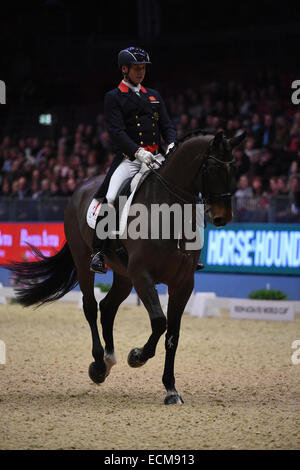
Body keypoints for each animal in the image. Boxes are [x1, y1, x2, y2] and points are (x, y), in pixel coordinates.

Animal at [7, 129, 245, 404]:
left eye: (235, 168)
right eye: (214, 168)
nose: (222, 217)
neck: (168, 212)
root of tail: (81, 188)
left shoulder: (183, 283)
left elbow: (172, 335)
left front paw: (171, 389)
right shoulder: (142, 275)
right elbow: (159, 322)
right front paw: (137, 356)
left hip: (124, 276)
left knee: (108, 307)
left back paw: (109, 360)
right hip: (85, 262)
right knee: (91, 307)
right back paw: (99, 365)